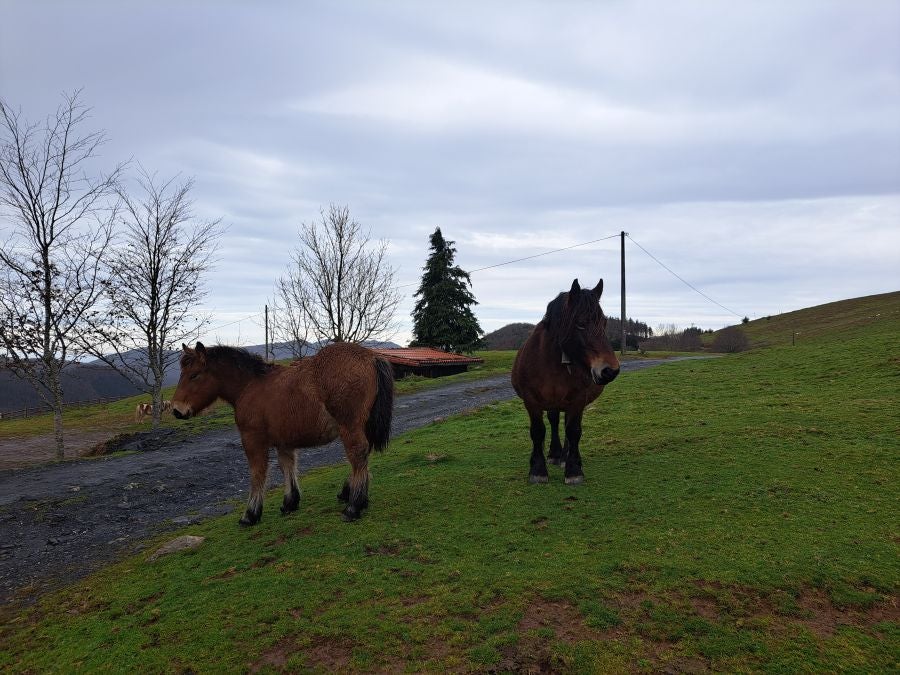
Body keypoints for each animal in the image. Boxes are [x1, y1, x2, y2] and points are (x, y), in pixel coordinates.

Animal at [171, 344, 392, 524]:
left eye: (194, 375)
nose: (176, 410)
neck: (250, 386)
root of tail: (370, 357)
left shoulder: (252, 440)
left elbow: (258, 473)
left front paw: (250, 513)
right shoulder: (284, 441)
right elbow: (287, 466)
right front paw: (290, 502)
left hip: (350, 427)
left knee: (358, 455)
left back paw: (353, 506)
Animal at [512, 280, 620, 486]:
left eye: (604, 322)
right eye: (580, 323)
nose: (610, 370)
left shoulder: (577, 401)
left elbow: (573, 431)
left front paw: (574, 470)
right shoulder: (531, 401)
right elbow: (538, 431)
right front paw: (538, 470)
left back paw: (564, 457)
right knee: (554, 421)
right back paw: (555, 455)